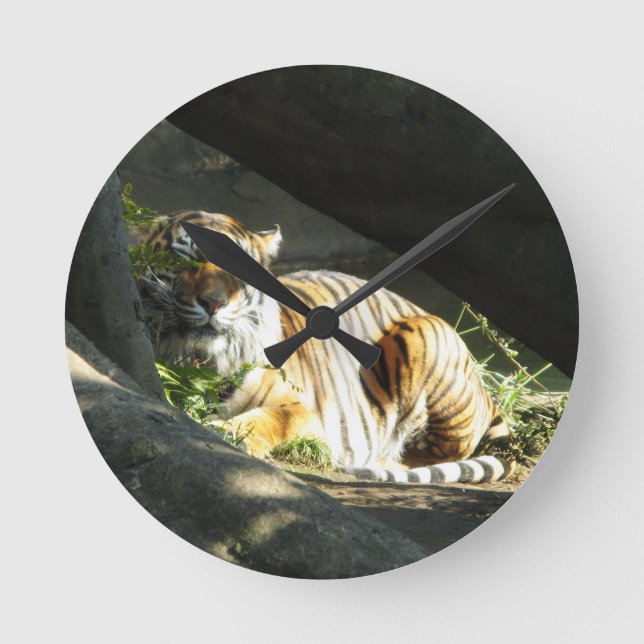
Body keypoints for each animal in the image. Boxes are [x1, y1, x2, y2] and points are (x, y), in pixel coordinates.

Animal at [139, 210, 513, 484]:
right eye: (184, 260)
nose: (214, 303)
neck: (203, 360)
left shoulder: (303, 410)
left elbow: (268, 419)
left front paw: (226, 433)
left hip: (424, 337)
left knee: (438, 452)